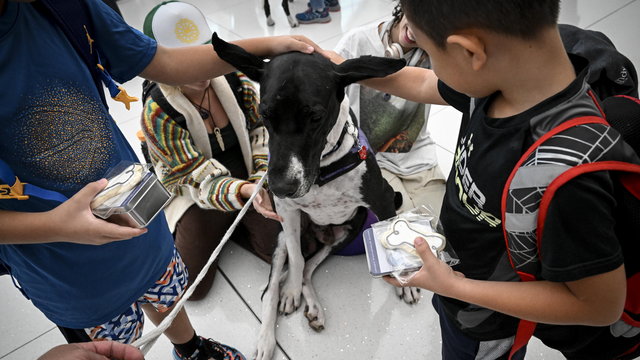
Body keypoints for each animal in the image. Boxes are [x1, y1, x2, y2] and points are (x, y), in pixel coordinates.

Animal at [211, 33, 420, 360]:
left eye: (316, 117)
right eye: (264, 114)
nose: (279, 187)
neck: (324, 169)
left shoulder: (383, 200)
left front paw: (405, 280)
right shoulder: (287, 214)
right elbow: (296, 260)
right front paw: (290, 292)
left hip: (350, 230)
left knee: (310, 268)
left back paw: (313, 307)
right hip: (283, 237)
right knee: (274, 285)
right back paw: (269, 331)